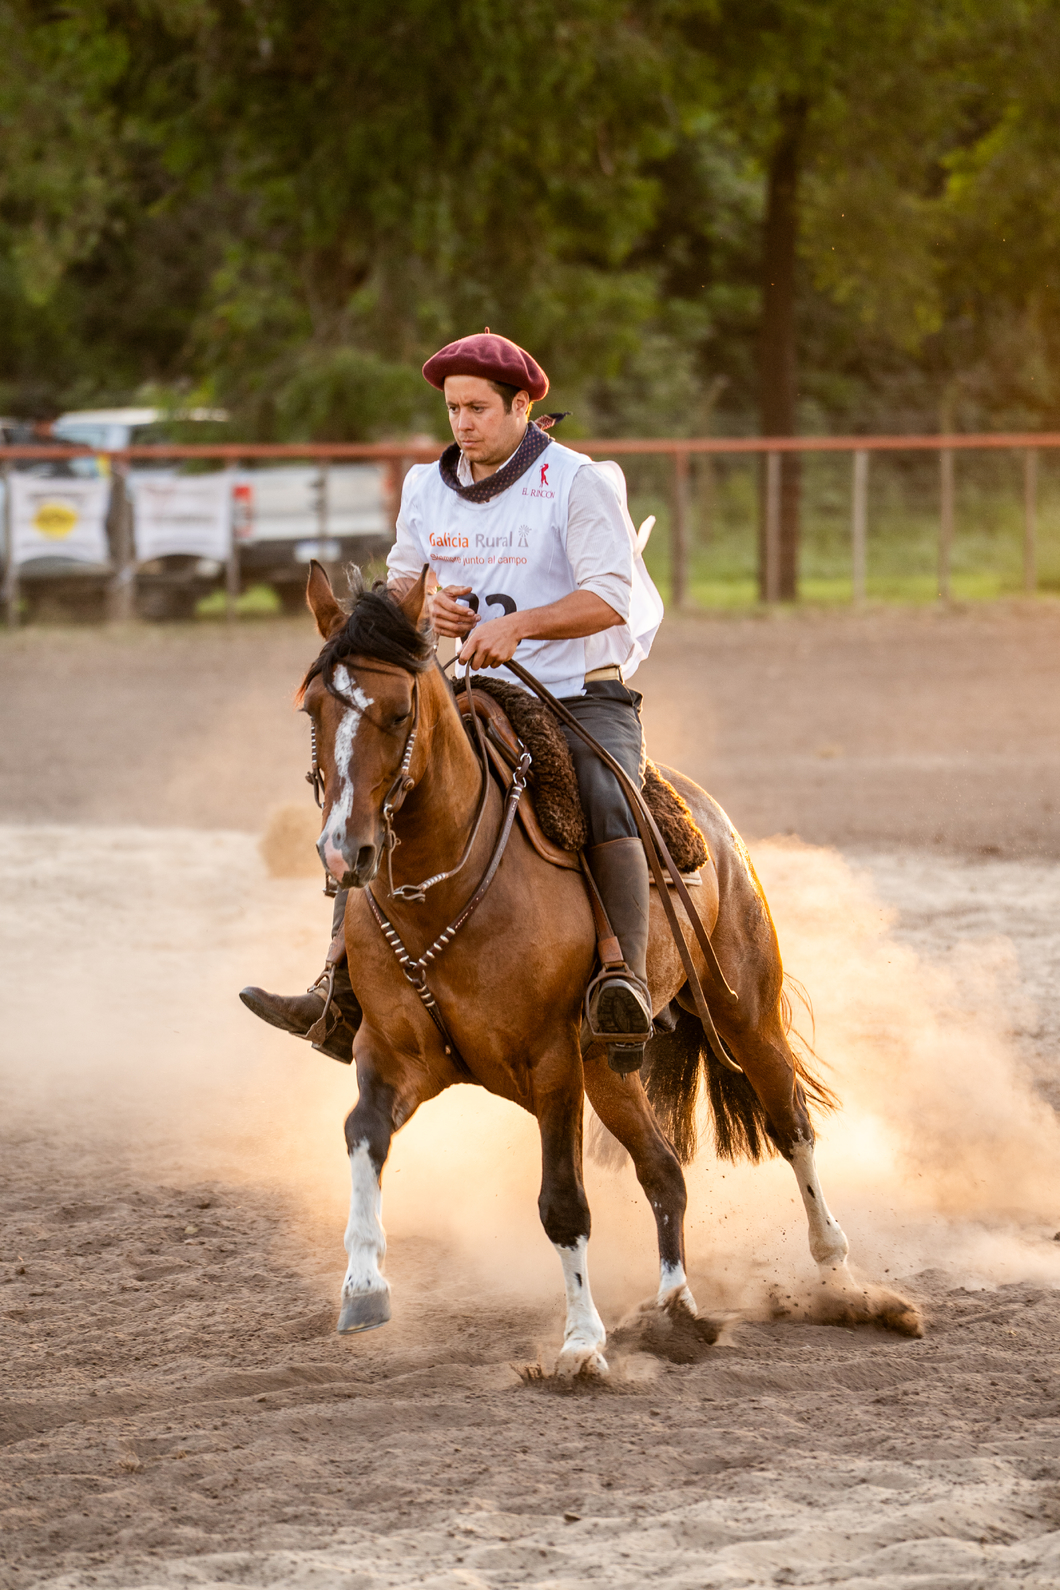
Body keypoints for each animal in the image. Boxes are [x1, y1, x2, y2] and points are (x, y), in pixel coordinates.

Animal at [294, 561, 920, 1376]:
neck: (447, 889)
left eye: (400, 712)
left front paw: (582, 1344)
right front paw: (363, 1286)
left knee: (792, 1127)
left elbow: (563, 1201)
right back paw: (676, 1310)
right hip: (612, 1068)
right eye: (312, 708)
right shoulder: (395, 1052)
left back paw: (844, 1282)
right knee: (665, 1172)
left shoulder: (551, 1063)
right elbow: (362, 1134)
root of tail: (713, 823)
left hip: (743, 1017)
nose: (347, 854)